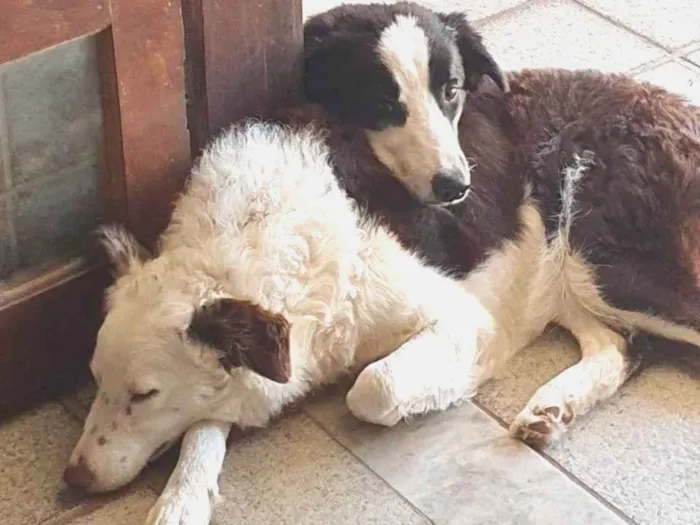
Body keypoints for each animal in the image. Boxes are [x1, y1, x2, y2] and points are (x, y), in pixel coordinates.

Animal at [63, 2, 696, 520]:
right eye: (95, 381)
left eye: (143, 395)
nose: (73, 479)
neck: (265, 234)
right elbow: (204, 427)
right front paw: (182, 498)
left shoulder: (458, 318)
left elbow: (373, 388)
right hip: (575, 279)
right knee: (618, 344)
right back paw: (553, 407)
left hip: (607, 264)